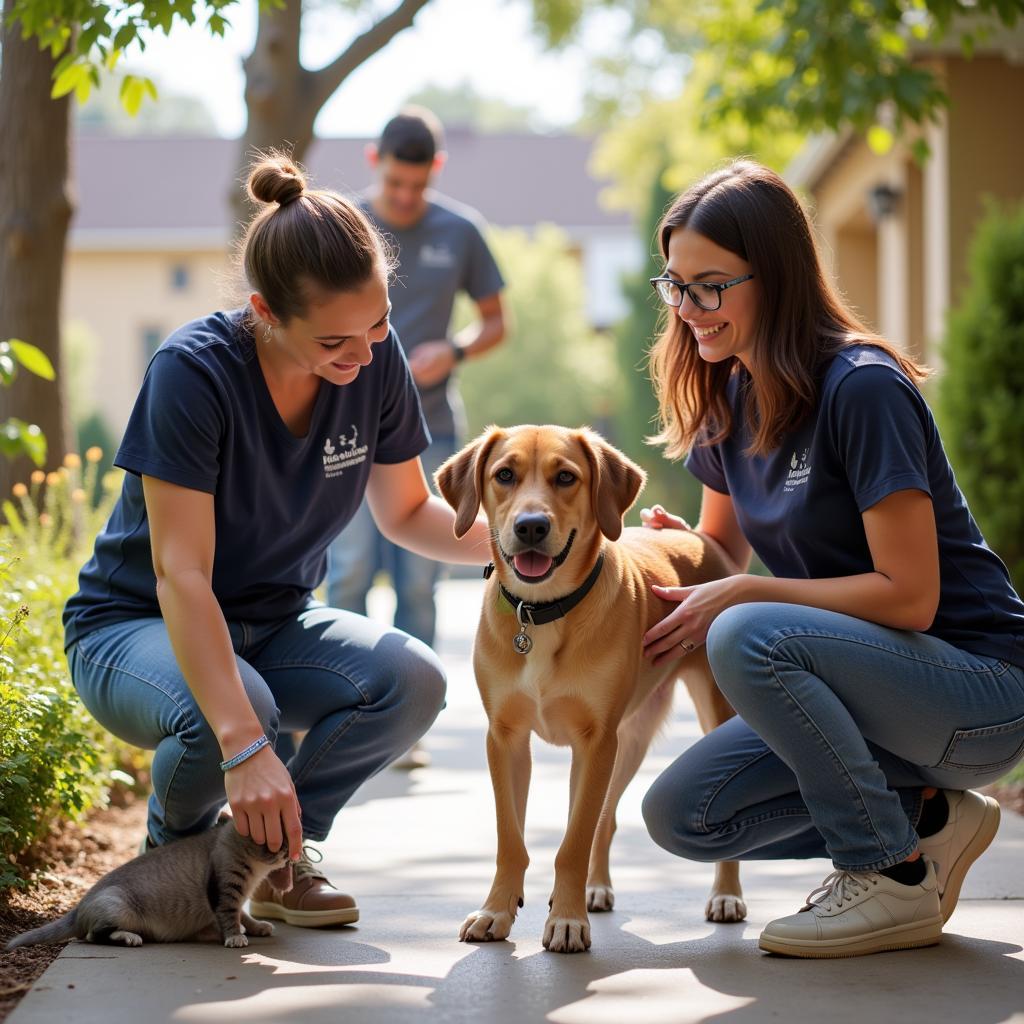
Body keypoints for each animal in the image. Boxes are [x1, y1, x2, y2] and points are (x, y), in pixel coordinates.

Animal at [4, 819, 292, 946]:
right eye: (276, 838)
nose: (290, 851)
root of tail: (78, 908)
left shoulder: (238, 899)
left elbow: (245, 916)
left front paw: (257, 927)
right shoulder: (224, 892)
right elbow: (230, 917)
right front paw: (234, 937)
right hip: (118, 908)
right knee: (92, 935)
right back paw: (128, 937)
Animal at [436, 423, 749, 950]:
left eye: (566, 477)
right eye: (504, 475)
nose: (531, 526)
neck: (540, 613)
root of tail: (698, 538)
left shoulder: (595, 742)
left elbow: (573, 841)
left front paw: (566, 919)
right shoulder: (505, 739)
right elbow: (511, 838)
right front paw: (497, 909)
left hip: (695, 718)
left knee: (609, 820)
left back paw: (725, 894)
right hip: (629, 742)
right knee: (608, 818)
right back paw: (596, 888)